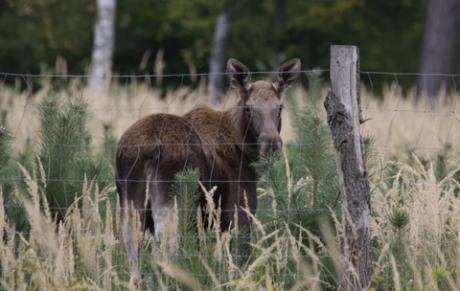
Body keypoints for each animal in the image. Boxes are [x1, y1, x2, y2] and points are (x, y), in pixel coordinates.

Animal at [115, 58, 302, 284]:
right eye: (249, 109)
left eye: (279, 107)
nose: (271, 143)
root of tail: (147, 149)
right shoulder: (237, 214)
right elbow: (235, 265)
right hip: (173, 203)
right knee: (166, 251)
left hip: (130, 203)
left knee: (133, 251)